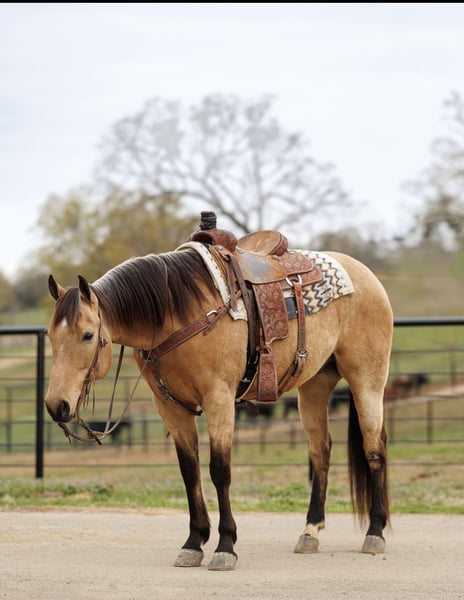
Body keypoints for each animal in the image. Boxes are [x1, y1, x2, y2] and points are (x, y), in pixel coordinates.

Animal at [45, 225, 393, 571]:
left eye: (87, 335)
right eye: (50, 335)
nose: (56, 405)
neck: (177, 314)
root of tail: (365, 275)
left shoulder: (219, 399)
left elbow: (219, 470)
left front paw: (225, 546)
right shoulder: (171, 408)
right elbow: (189, 471)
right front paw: (193, 542)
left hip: (367, 379)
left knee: (373, 447)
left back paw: (375, 532)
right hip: (315, 386)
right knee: (321, 452)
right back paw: (310, 532)